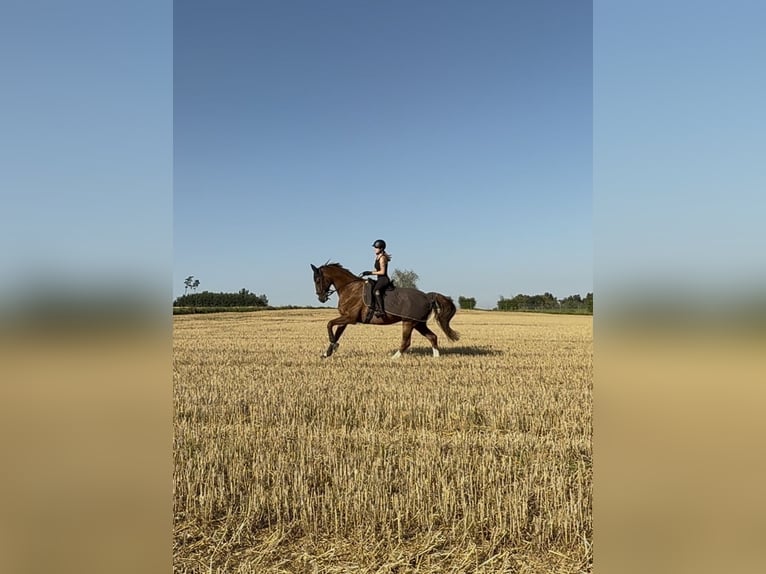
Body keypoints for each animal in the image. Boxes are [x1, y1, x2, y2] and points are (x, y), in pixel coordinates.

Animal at [310, 262, 460, 358]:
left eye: (317, 280)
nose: (321, 298)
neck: (349, 288)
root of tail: (427, 296)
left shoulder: (350, 318)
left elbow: (329, 324)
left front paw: (333, 346)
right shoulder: (345, 319)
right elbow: (336, 332)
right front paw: (327, 352)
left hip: (409, 322)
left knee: (406, 342)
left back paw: (393, 357)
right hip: (418, 323)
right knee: (432, 337)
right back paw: (436, 358)